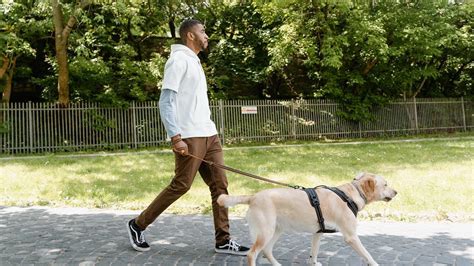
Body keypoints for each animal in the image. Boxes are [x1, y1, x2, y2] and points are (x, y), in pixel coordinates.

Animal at [218, 172, 396, 266]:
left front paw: (313, 263)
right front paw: (375, 263)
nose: (396, 192)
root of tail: (253, 196)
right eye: (385, 184)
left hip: (276, 231)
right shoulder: (351, 237)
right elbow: (367, 254)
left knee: (267, 251)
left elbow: (314, 252)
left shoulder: (317, 233)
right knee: (252, 253)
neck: (350, 194)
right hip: (265, 232)